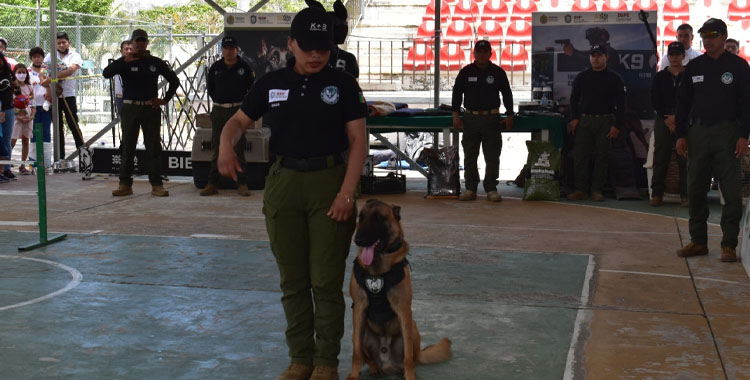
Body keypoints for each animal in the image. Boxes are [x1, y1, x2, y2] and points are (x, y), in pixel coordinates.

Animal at [346, 199, 452, 380]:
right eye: (360, 218)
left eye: (378, 218)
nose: (358, 240)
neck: (378, 271)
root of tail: (387, 364)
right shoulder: (358, 309)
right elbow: (357, 353)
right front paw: (353, 375)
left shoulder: (403, 310)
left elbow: (408, 356)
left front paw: (410, 376)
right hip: (357, 332)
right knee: (367, 356)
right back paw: (374, 368)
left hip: (412, 326)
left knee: (411, 357)